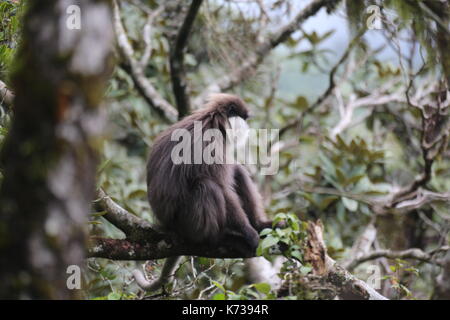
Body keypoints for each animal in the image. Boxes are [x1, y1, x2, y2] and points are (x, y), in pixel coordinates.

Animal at [133, 94, 274, 292]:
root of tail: (168, 226)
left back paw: (259, 225)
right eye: (245, 118)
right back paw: (218, 239)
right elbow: (222, 188)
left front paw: (258, 226)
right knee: (207, 186)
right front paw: (249, 233)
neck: (214, 122)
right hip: (187, 223)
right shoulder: (211, 144)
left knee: (236, 170)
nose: (248, 127)